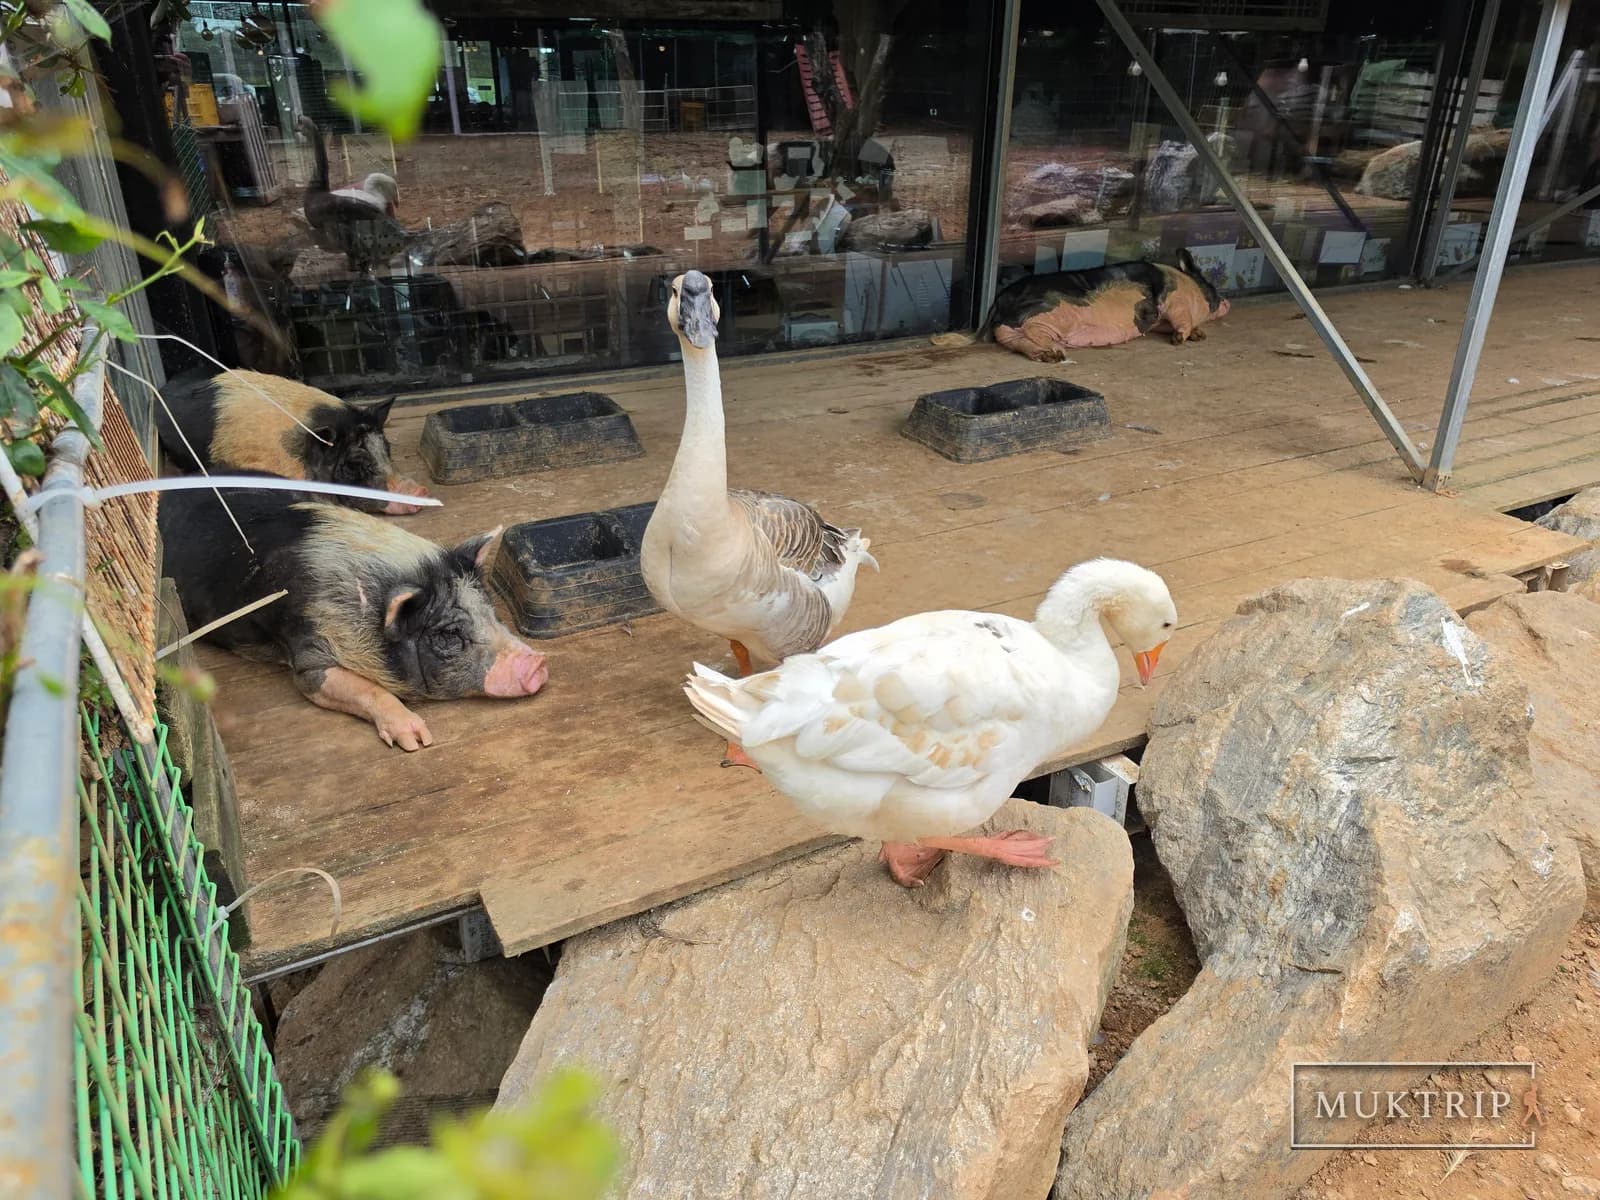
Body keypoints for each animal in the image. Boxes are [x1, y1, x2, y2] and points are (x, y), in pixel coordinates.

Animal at [159, 484, 547, 750]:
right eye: (448, 635)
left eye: (490, 610)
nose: (538, 663)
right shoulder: (309, 653)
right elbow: (362, 687)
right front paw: (418, 739)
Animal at [965, 250, 1230, 361]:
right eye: (1210, 283)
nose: (1228, 301)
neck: (1188, 284)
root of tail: (1000, 302)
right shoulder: (1174, 300)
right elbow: (1181, 318)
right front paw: (1180, 339)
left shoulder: (1157, 322)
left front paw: (1199, 335)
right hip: (1053, 312)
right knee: (1035, 331)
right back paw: (1059, 352)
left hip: (1009, 333)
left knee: (1020, 344)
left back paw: (1049, 356)